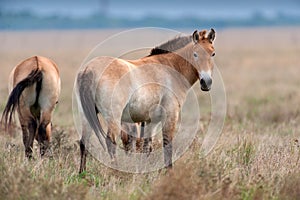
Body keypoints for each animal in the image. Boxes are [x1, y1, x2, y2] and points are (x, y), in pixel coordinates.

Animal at [77, 28, 216, 173]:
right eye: (195, 54)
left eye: (213, 54)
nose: (206, 82)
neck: (171, 67)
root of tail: (88, 70)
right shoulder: (170, 115)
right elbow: (167, 144)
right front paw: (169, 172)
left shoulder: (151, 121)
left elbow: (147, 146)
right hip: (113, 117)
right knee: (111, 142)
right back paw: (117, 172)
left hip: (86, 116)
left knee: (83, 142)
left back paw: (82, 174)